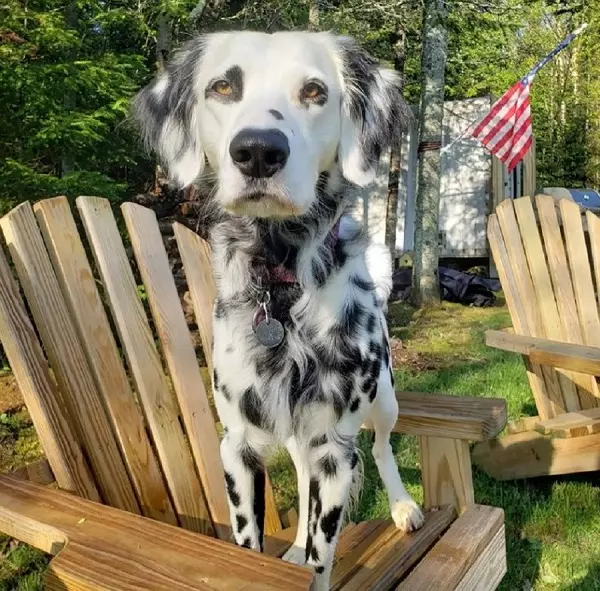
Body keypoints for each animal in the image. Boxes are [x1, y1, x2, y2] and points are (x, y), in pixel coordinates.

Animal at [134, 31, 424, 591]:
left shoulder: (334, 446)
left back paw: (403, 507)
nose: (258, 151)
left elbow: (322, 549)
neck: (282, 286)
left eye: (314, 91)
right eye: (223, 86)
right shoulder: (240, 445)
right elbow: (253, 536)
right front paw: (283, 551)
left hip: (384, 402)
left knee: (380, 448)